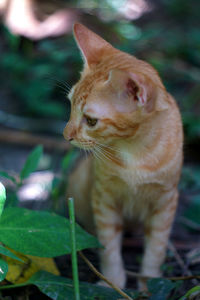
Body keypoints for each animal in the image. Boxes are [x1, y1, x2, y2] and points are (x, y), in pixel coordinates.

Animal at [63, 22, 183, 290]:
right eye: (70, 105)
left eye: (91, 121)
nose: (65, 135)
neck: (135, 153)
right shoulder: (104, 197)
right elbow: (108, 245)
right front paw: (112, 282)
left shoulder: (166, 201)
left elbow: (156, 248)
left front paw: (149, 283)